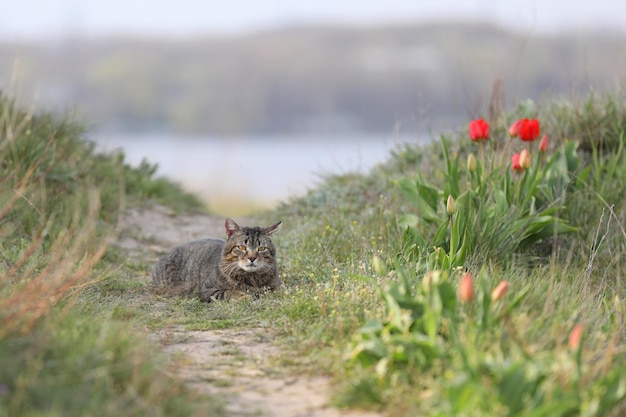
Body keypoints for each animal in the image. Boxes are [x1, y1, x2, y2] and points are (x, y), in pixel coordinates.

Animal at [151, 218, 280, 300]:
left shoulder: (278, 285)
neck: (252, 278)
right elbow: (231, 292)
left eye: (261, 248)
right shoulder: (208, 290)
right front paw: (247, 296)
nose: (252, 257)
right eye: (242, 247)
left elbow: (278, 291)